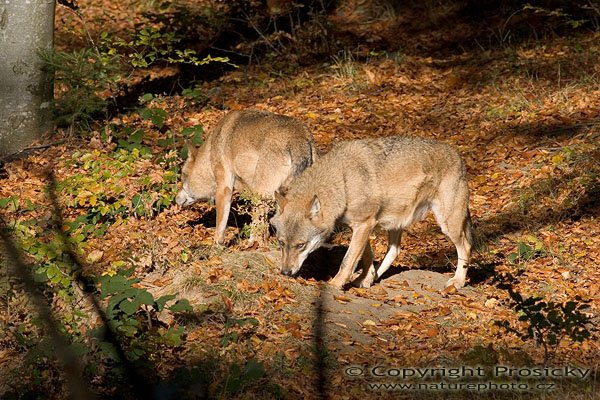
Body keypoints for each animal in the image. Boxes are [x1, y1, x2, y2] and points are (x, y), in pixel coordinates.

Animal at [177, 109, 318, 245]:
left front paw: (217, 245)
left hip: (261, 195)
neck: (210, 150)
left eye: (183, 176)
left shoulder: (224, 189)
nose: (175, 199)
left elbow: (220, 226)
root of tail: (299, 138)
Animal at [270, 136, 474, 290]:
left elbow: (347, 261)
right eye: (281, 243)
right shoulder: (363, 226)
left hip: (448, 224)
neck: (343, 182)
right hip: (395, 223)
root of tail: (459, 156)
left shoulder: (364, 224)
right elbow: (366, 256)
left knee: (466, 246)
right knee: (395, 250)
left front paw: (335, 284)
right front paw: (365, 278)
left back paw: (458, 281)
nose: (285, 272)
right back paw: (371, 277)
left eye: (300, 245)